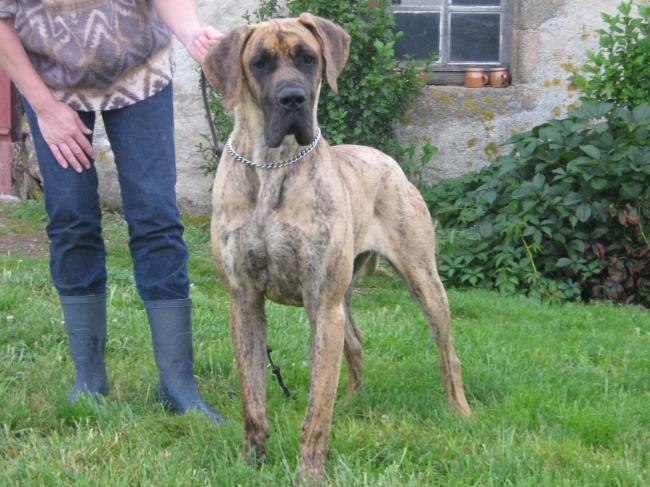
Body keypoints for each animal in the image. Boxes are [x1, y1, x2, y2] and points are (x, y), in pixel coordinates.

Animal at [202, 13, 470, 482]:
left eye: (309, 58)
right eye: (259, 63)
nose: (293, 98)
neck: (272, 165)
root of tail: (384, 158)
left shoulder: (319, 303)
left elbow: (316, 409)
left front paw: (309, 473)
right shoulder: (244, 301)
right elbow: (253, 399)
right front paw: (250, 463)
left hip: (419, 280)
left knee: (447, 353)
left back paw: (460, 411)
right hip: (341, 300)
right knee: (356, 343)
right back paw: (352, 401)